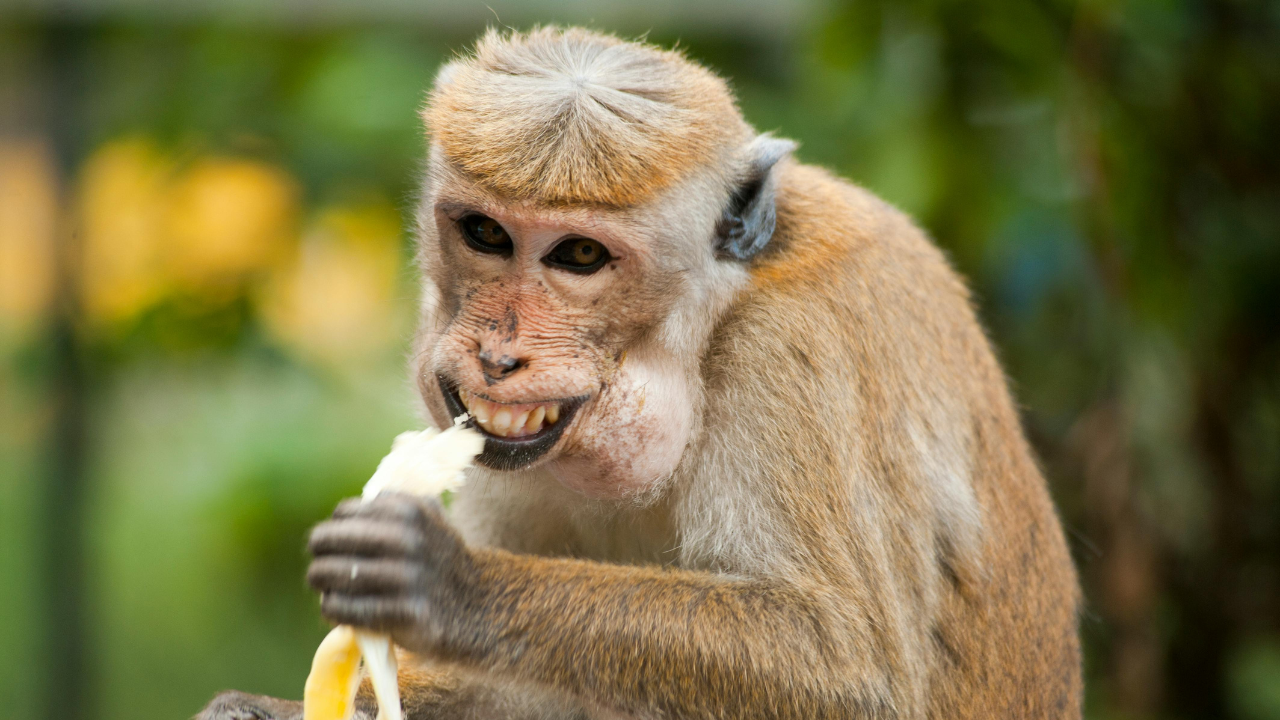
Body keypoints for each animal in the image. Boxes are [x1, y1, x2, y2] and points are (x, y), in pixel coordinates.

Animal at [199, 25, 1080, 712]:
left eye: (580, 256)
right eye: (486, 234)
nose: (497, 355)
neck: (707, 325)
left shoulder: (791, 356)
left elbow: (849, 669)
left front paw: (452, 585)